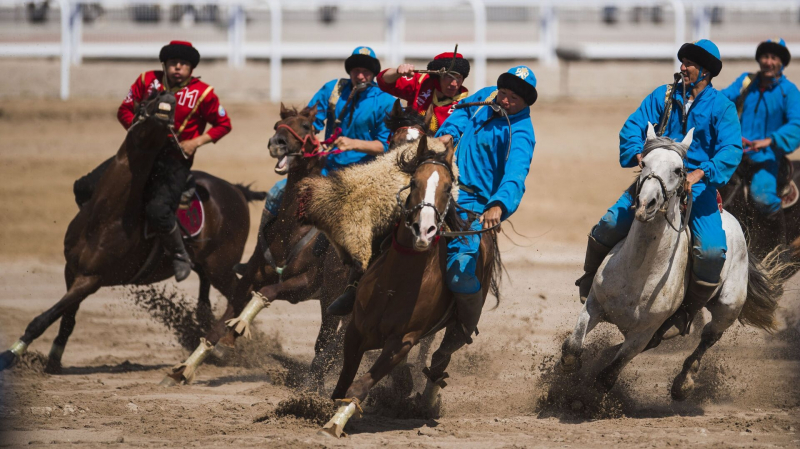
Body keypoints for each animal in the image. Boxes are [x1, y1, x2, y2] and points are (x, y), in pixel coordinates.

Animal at [0, 90, 260, 372]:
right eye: (147, 98)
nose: (167, 97)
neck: (105, 217)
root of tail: (236, 190)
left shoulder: (91, 279)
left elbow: (44, 318)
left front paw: (10, 355)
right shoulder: (72, 270)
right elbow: (66, 319)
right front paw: (53, 360)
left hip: (221, 267)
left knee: (238, 295)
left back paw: (222, 345)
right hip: (207, 267)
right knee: (206, 297)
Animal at [162, 104, 346, 388]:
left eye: (307, 126)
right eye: (277, 125)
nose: (277, 143)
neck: (293, 231)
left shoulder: (303, 284)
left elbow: (267, 292)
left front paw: (234, 332)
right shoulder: (248, 278)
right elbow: (220, 322)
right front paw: (184, 368)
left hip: (333, 296)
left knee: (329, 341)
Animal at [318, 137, 500, 438]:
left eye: (448, 187)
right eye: (413, 181)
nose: (423, 230)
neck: (395, 284)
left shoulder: (403, 342)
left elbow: (359, 387)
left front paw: (335, 423)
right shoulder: (355, 329)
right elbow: (343, 382)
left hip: (457, 326)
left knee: (440, 359)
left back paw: (426, 402)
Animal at [560, 123, 784, 400]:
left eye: (679, 170)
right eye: (643, 162)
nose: (646, 204)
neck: (638, 271)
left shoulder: (641, 335)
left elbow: (607, 376)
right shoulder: (593, 305)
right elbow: (572, 349)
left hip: (728, 307)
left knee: (709, 337)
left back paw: (683, 383)